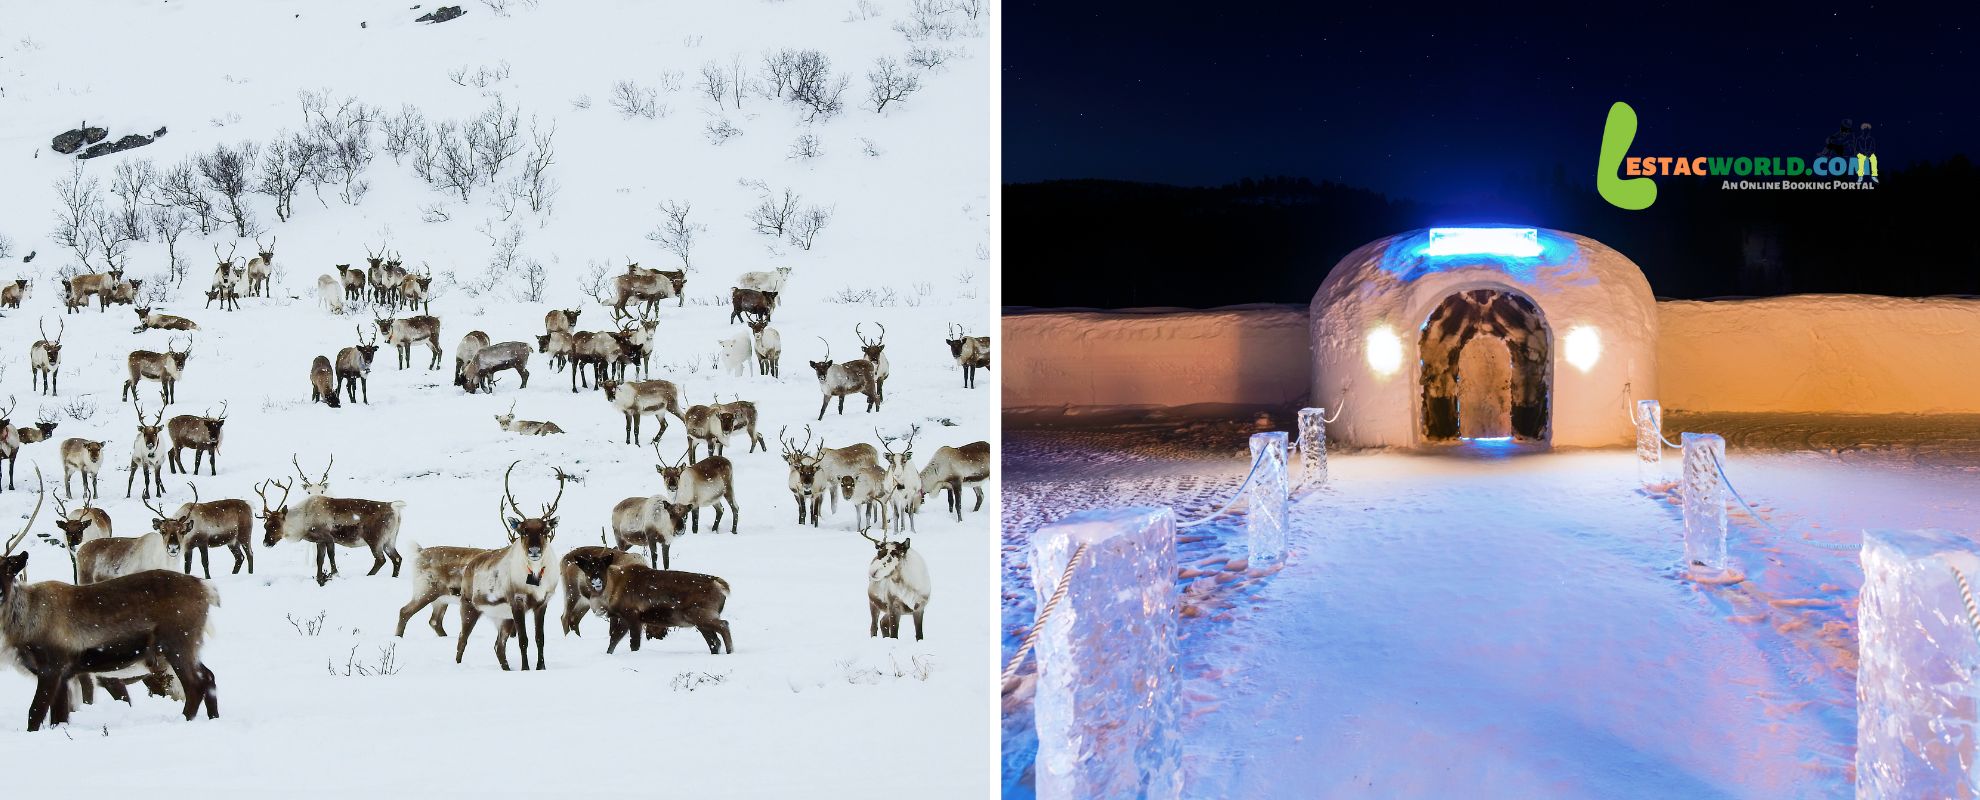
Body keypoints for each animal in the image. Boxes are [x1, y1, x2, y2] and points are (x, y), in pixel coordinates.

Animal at [1, 473, 223, 732]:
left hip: (178, 643)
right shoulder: (66, 675)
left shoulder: (53, 667)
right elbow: (59, 716)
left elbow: (35, 714)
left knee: (195, 684)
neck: (24, 621)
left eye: (8, 569)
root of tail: (206, 588)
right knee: (209, 677)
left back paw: (184, 720)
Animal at [256, 471, 406, 587]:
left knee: (381, 560)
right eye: (265, 525)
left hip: (375, 540)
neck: (304, 518)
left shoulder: (328, 538)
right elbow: (320, 559)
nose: (266, 543)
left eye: (275, 525)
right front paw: (319, 579)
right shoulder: (320, 541)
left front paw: (333, 576)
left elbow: (330, 556)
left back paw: (368, 576)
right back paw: (394, 578)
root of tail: (394, 507)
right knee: (397, 558)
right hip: (390, 540)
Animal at [455, 462, 567, 671]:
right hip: (468, 606)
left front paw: (541, 668)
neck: (535, 576)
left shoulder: (543, 603)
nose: (534, 550)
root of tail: (469, 566)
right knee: (462, 640)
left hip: (503, 618)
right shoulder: (517, 601)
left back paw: (507, 669)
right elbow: (523, 640)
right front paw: (525, 669)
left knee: (498, 645)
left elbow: (540, 638)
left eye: (545, 530)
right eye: (523, 531)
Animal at [601, 562, 734, 655]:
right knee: (715, 641)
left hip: (700, 615)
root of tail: (720, 586)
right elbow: (614, 639)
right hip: (699, 621)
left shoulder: (633, 616)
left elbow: (634, 644)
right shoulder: (624, 618)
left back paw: (730, 651)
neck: (615, 585)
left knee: (724, 625)